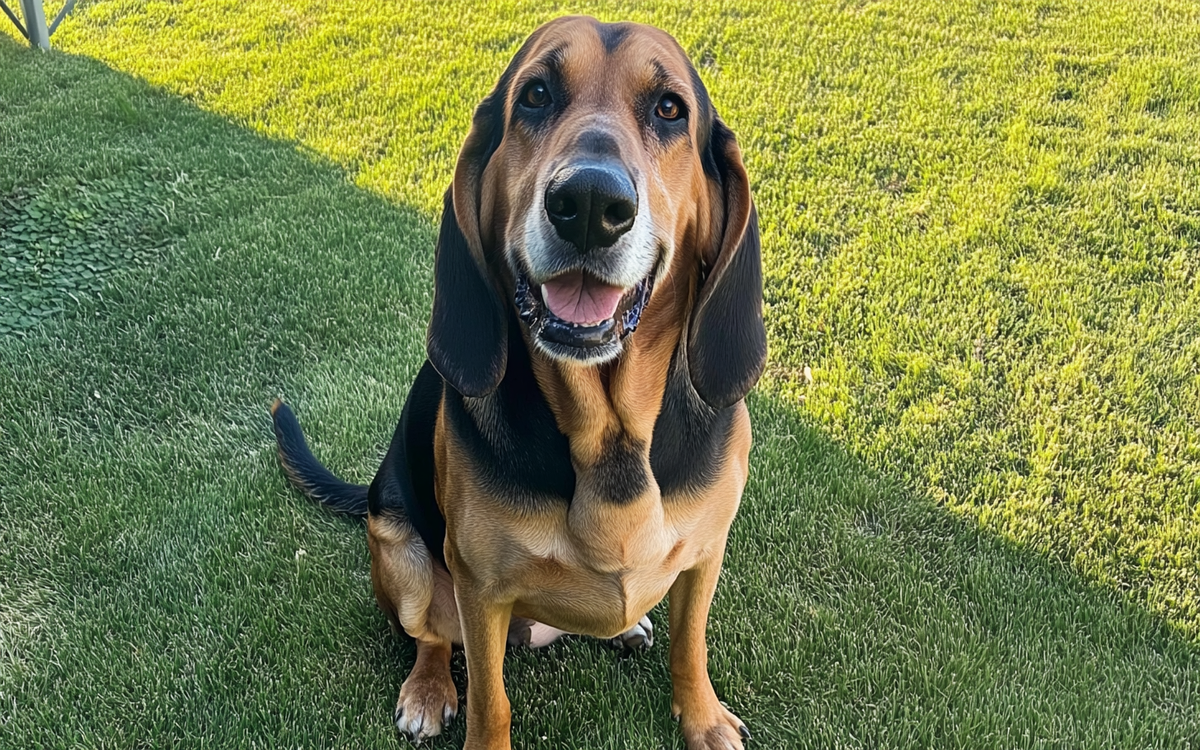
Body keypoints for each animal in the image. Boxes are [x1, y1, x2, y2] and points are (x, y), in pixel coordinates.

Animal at [271, 16, 763, 748]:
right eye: (535, 95)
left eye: (670, 109)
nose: (588, 203)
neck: (609, 432)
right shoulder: (479, 588)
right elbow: (490, 699)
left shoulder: (706, 556)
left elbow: (690, 645)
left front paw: (701, 718)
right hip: (401, 550)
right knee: (430, 634)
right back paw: (427, 689)